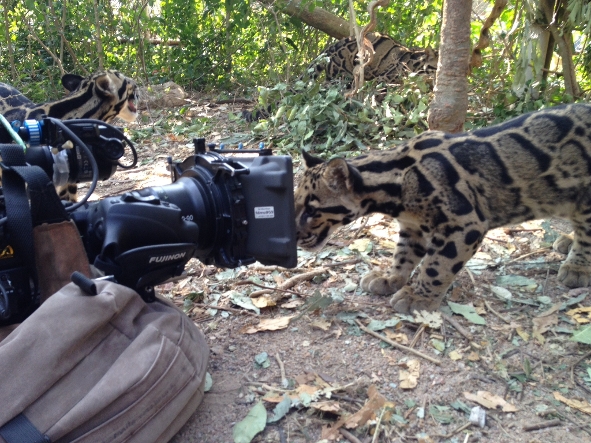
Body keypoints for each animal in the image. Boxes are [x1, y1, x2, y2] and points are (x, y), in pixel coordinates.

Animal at [295, 103, 591, 314]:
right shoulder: (411, 227)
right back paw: (566, 240)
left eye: (311, 210)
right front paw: (391, 278)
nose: (295, 237)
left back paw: (577, 266)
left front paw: (417, 296)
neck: (396, 179)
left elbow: (436, 266)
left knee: (586, 231)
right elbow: (402, 255)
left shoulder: (465, 223)